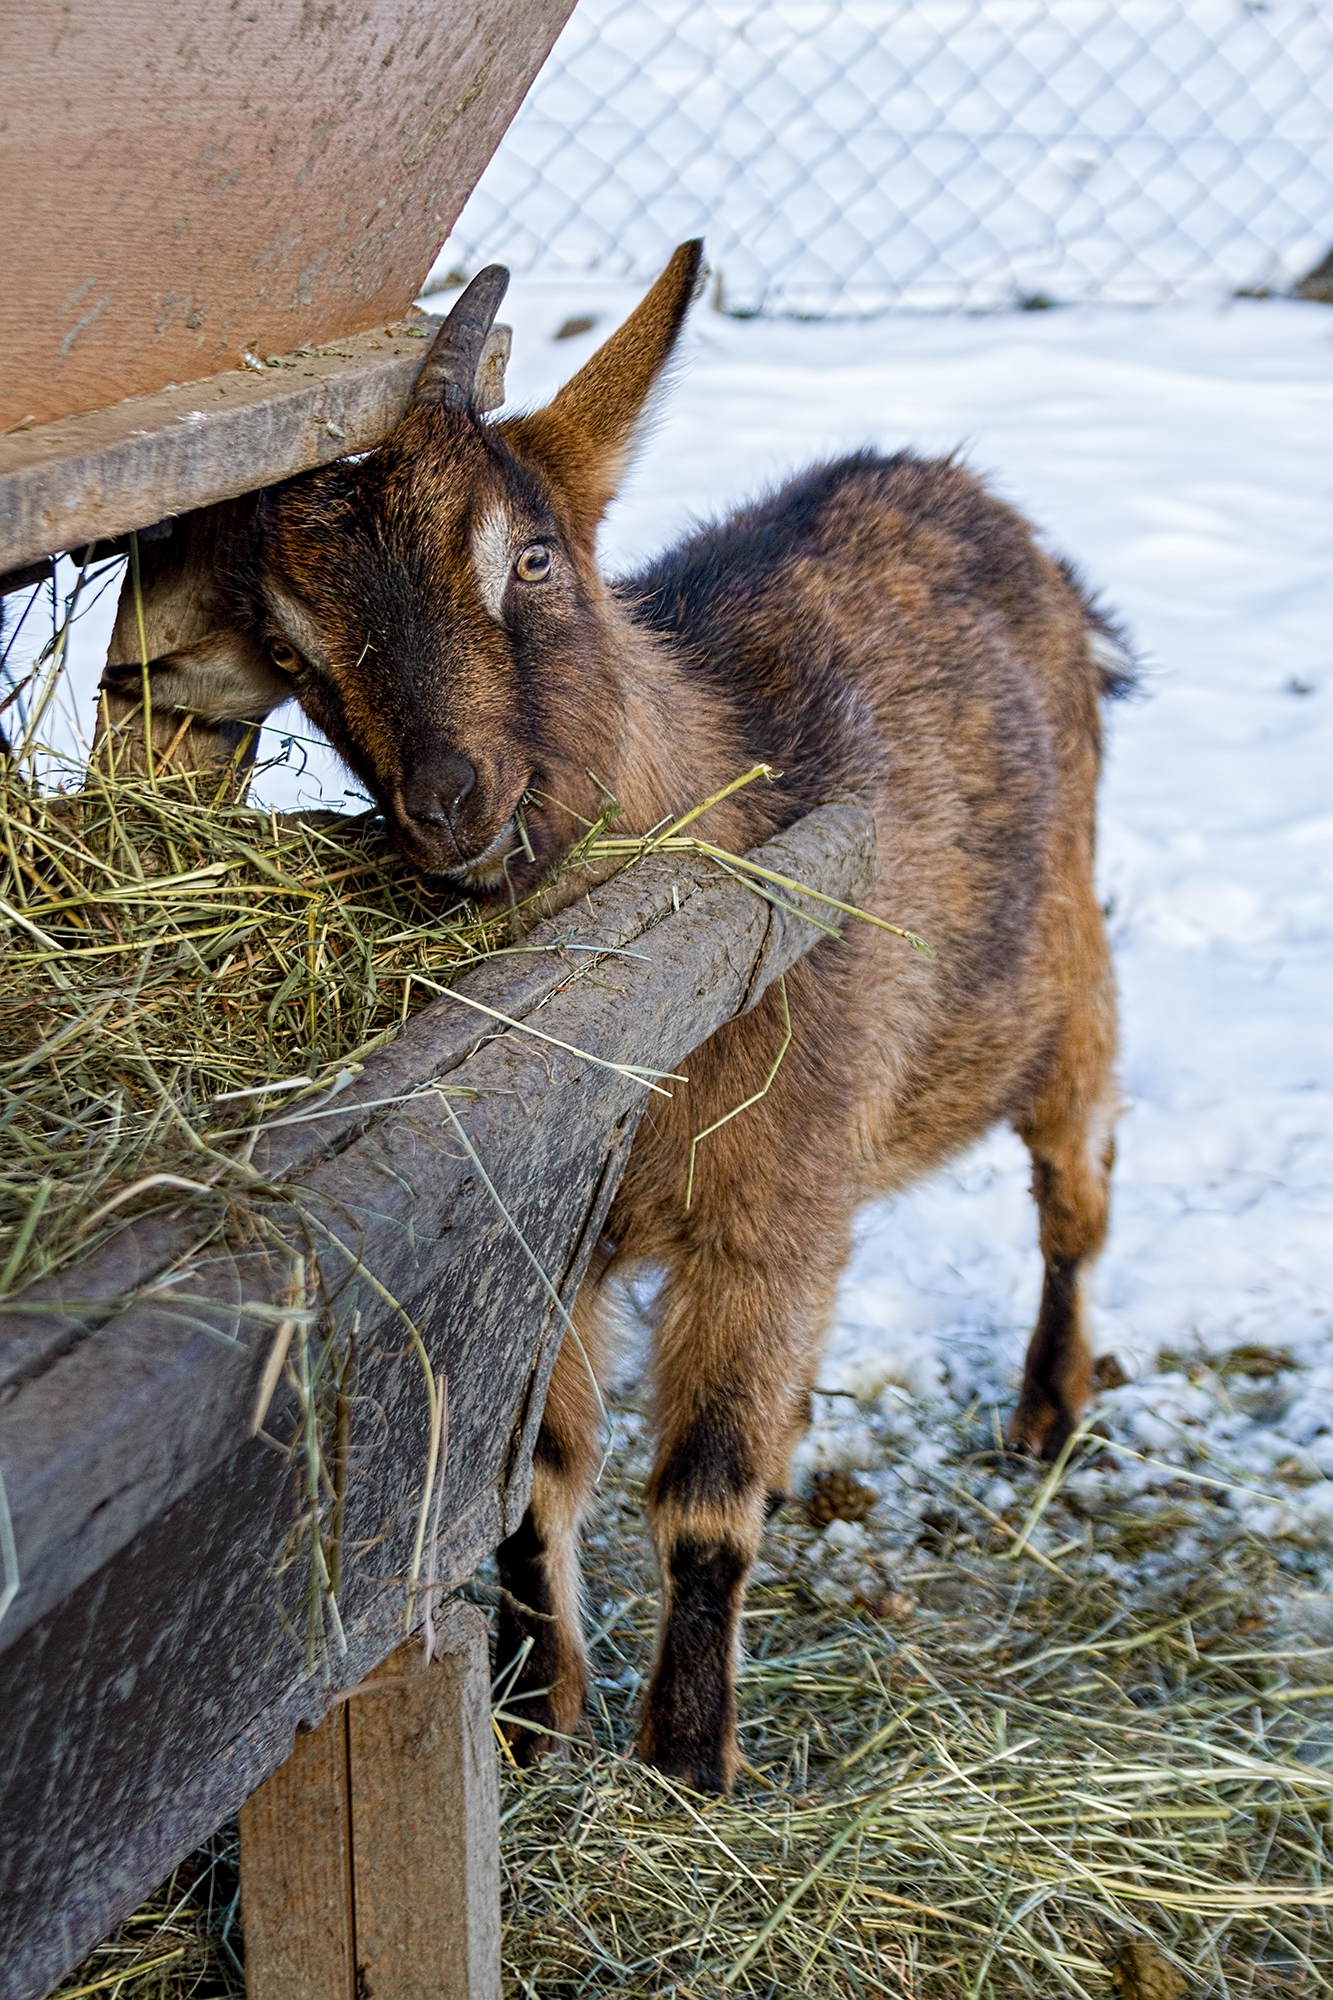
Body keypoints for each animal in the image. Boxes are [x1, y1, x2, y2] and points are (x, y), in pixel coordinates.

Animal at [111, 250, 1128, 1800]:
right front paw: (537, 1715)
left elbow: (705, 1494)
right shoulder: (547, 1235)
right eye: (295, 644)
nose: (451, 804)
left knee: (1076, 1192)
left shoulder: (777, 1208)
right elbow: (533, 1482)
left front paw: (687, 1760)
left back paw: (1047, 1410)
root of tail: (965, 491)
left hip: (1067, 989)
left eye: (528, 555)